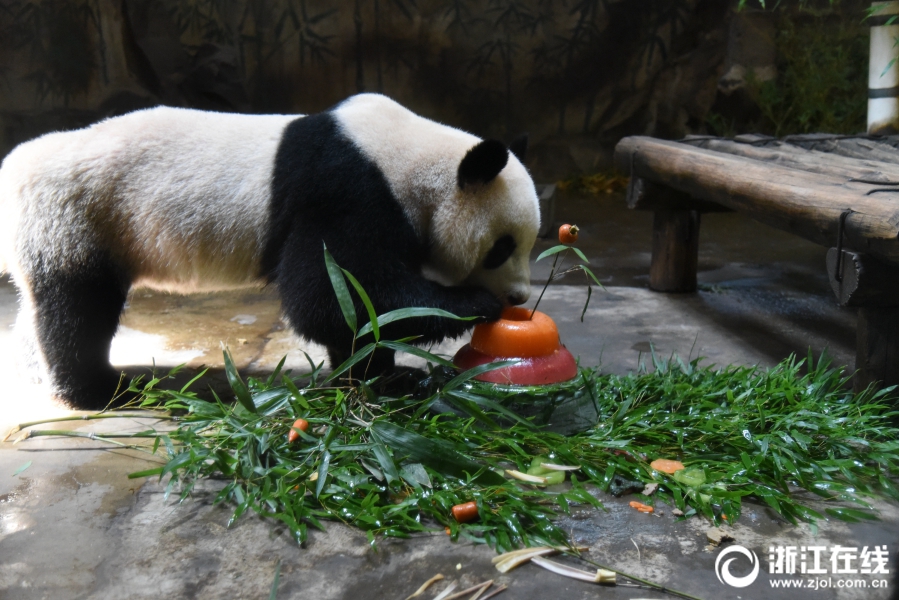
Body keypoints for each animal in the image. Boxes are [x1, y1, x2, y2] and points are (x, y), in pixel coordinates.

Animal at [0, 94, 540, 410]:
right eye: (501, 248)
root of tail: (15, 167)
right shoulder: (343, 191)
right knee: (77, 308)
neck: (409, 161)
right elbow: (331, 295)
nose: (518, 298)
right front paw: (470, 308)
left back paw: (33, 369)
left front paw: (376, 376)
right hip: (76, 216)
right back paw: (96, 390)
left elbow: (354, 310)